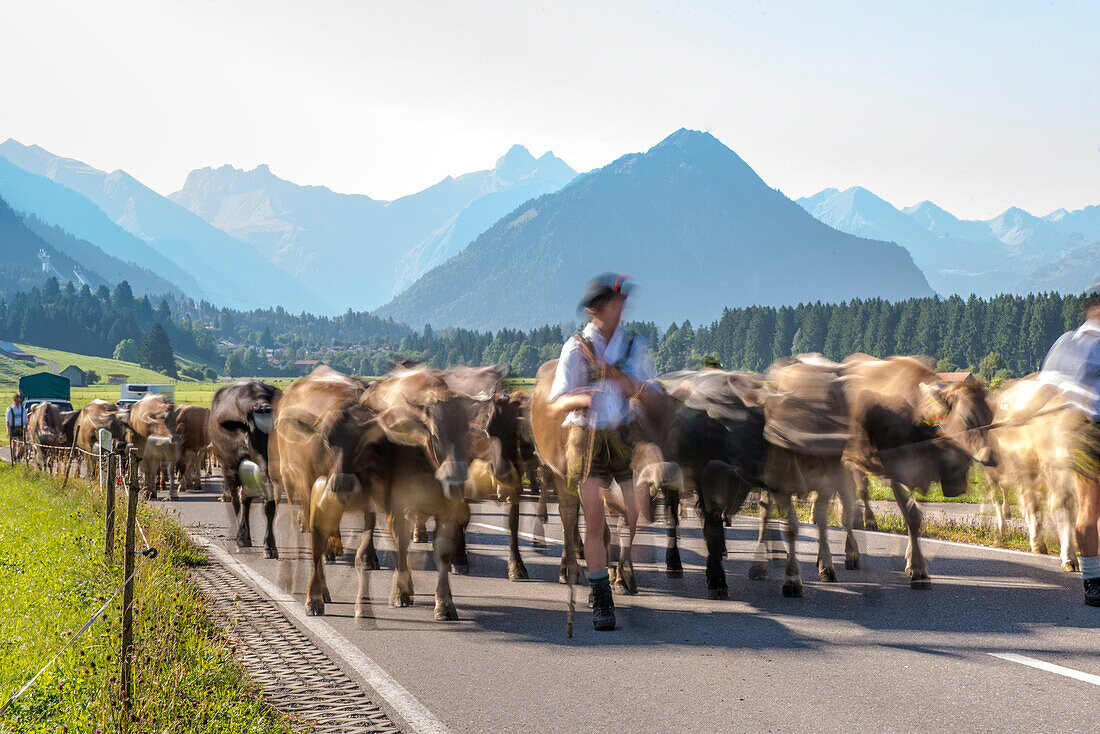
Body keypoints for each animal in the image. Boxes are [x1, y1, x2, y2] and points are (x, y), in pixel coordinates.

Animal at [207, 378, 281, 556]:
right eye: (255, 433)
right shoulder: (231, 469)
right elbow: (237, 502)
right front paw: (240, 538)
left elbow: (269, 506)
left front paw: (270, 545)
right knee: (238, 501)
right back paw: (242, 536)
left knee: (246, 500)